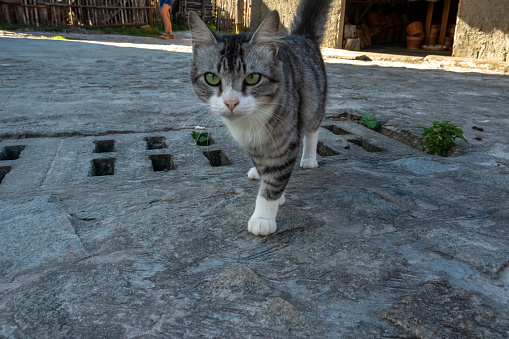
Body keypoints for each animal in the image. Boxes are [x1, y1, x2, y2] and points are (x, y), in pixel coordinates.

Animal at [189, 0, 332, 236]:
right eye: (212, 78)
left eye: (253, 78)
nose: (231, 102)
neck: (249, 123)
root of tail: (302, 36)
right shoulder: (253, 144)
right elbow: (266, 170)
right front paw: (266, 181)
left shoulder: (285, 140)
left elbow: (274, 180)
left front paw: (264, 216)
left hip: (313, 103)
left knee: (312, 129)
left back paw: (309, 158)